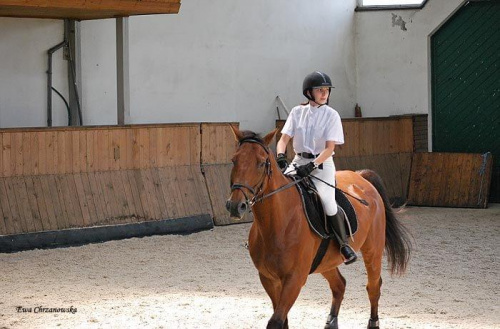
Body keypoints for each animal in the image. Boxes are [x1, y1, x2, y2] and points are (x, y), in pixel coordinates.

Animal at [226, 126, 410, 328]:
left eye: (260, 163)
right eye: (234, 160)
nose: (236, 206)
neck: (277, 223)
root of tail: (361, 177)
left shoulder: (294, 279)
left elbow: (276, 321)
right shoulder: (268, 279)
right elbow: (282, 320)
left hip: (373, 250)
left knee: (373, 287)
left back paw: (373, 322)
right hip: (326, 261)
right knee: (339, 285)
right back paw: (331, 322)